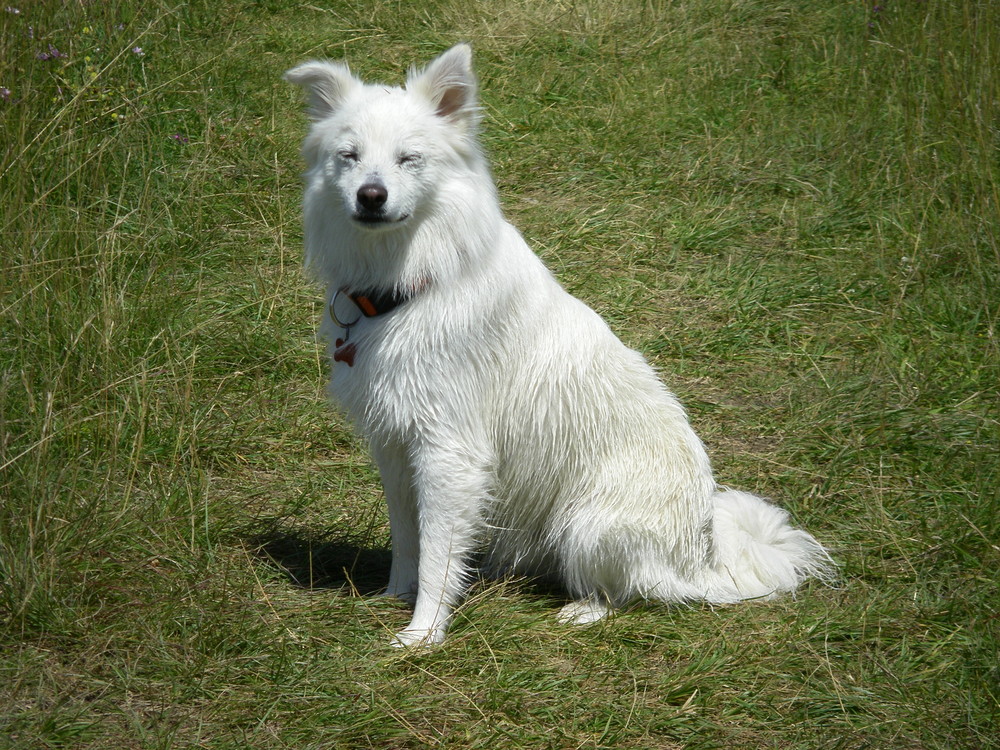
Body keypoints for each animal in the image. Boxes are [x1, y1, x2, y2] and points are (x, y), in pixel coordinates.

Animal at [286, 45, 832, 648]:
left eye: (410, 159)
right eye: (349, 156)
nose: (371, 197)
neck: (409, 281)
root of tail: (702, 557)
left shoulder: (449, 451)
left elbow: (438, 554)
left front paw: (423, 635)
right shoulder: (394, 441)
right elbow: (409, 538)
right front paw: (393, 597)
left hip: (588, 524)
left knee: (634, 593)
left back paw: (583, 610)